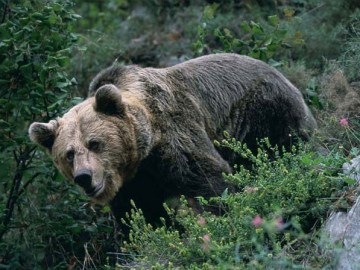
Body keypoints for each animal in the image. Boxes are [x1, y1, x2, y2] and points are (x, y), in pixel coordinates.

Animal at [28, 53, 316, 227]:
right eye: (68, 154)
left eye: (94, 143)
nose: (84, 177)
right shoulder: (136, 182)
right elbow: (141, 214)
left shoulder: (175, 134)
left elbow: (208, 179)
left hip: (263, 112)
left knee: (280, 145)